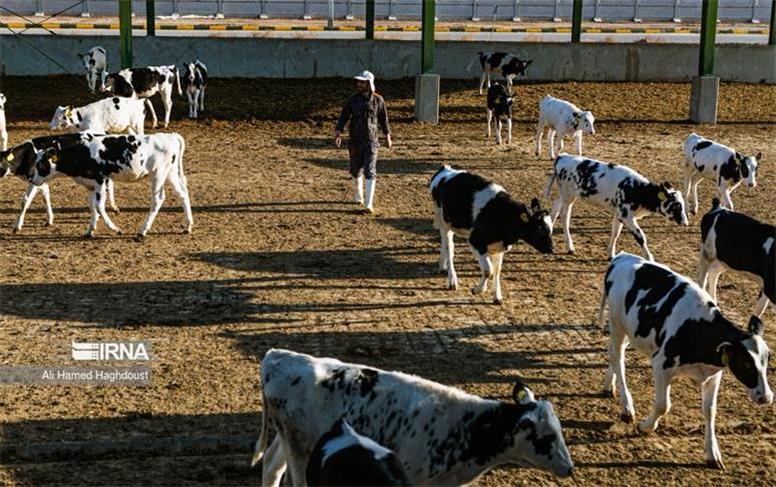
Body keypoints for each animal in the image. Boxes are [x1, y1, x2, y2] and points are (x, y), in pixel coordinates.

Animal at [27, 132, 192, 239]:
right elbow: (92, 207)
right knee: (182, 193)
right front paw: (90, 231)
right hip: (170, 173)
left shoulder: (101, 180)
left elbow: (99, 206)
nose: (31, 179)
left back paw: (143, 230)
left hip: (158, 174)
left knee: (158, 199)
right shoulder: (91, 185)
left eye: (41, 165)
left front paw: (115, 229)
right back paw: (188, 226)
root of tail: (170, 136)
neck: (82, 153)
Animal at [252, 348, 572, 486]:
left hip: (289, 439)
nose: (569, 468)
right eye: (548, 436)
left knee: (271, 465)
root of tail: (279, 357)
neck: (468, 425)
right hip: (300, 451)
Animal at [430, 168, 552, 304]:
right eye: (540, 229)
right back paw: (452, 280)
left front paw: (497, 296)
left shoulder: (499, 247)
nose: (551, 249)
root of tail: (445, 170)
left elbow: (497, 271)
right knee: (449, 249)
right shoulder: (476, 241)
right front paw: (478, 290)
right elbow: (489, 270)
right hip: (444, 223)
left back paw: (442, 266)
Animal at [544, 156, 688, 264]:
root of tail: (562, 156)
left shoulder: (619, 214)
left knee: (555, 207)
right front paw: (649, 258)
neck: (637, 189)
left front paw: (611, 254)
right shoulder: (626, 216)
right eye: (677, 205)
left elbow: (615, 233)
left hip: (564, 195)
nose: (685, 222)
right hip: (568, 196)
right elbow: (640, 236)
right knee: (564, 217)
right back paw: (570, 247)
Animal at [600, 252, 768, 468]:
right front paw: (646, 426)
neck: (697, 328)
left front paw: (713, 453)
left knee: (612, 354)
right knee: (617, 357)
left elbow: (710, 411)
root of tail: (621, 257)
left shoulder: (714, 374)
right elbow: (663, 405)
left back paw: (609, 385)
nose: (767, 397)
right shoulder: (661, 365)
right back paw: (627, 407)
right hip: (616, 324)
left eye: (767, 359)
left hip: (633, 330)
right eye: (746, 363)